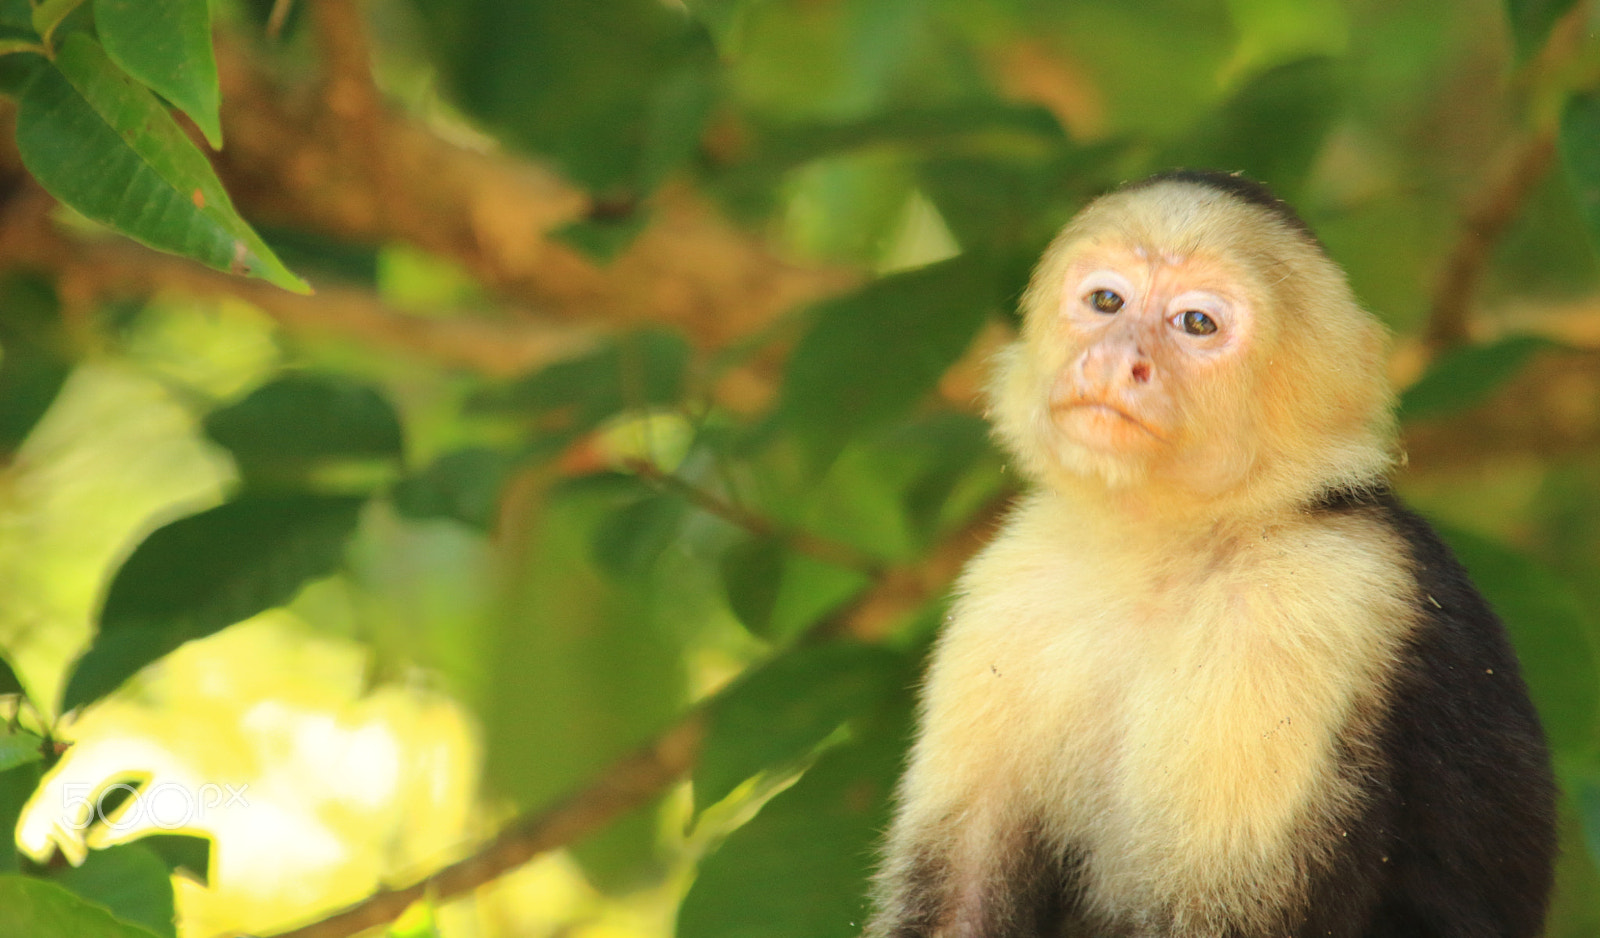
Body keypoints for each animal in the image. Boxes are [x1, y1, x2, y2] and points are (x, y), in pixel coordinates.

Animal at [868, 171, 1557, 938]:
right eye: (1106, 302)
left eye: (1196, 324)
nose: (1115, 361)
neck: (1163, 554)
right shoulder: (1008, 587)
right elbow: (958, 899)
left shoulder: (1312, 600)